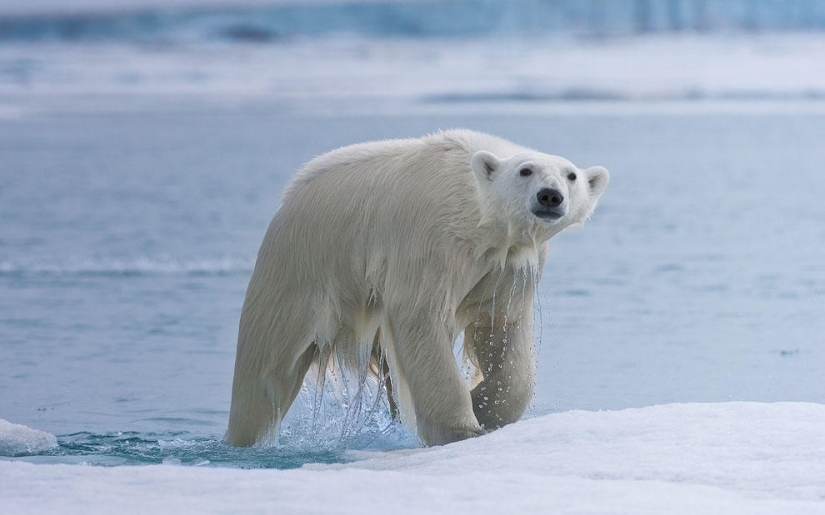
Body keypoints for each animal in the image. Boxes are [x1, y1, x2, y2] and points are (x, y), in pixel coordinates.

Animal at [225, 129, 609, 447]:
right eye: (525, 171)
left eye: (571, 175)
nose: (550, 196)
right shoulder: (431, 238)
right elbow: (422, 317)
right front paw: (462, 428)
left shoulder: (509, 265)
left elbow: (501, 327)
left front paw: (484, 406)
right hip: (300, 272)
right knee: (264, 371)